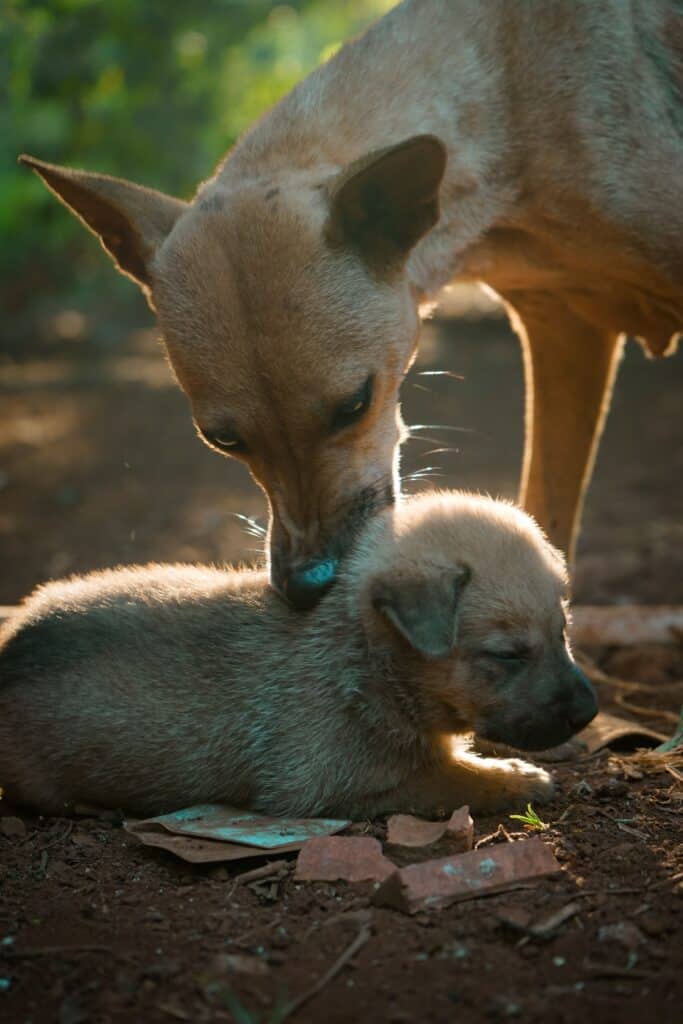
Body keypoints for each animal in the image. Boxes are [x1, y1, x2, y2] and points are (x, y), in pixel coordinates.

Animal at [0, 491, 593, 819]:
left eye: (564, 631)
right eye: (508, 655)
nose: (589, 711)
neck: (358, 659)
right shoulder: (335, 783)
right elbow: (452, 779)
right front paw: (517, 777)